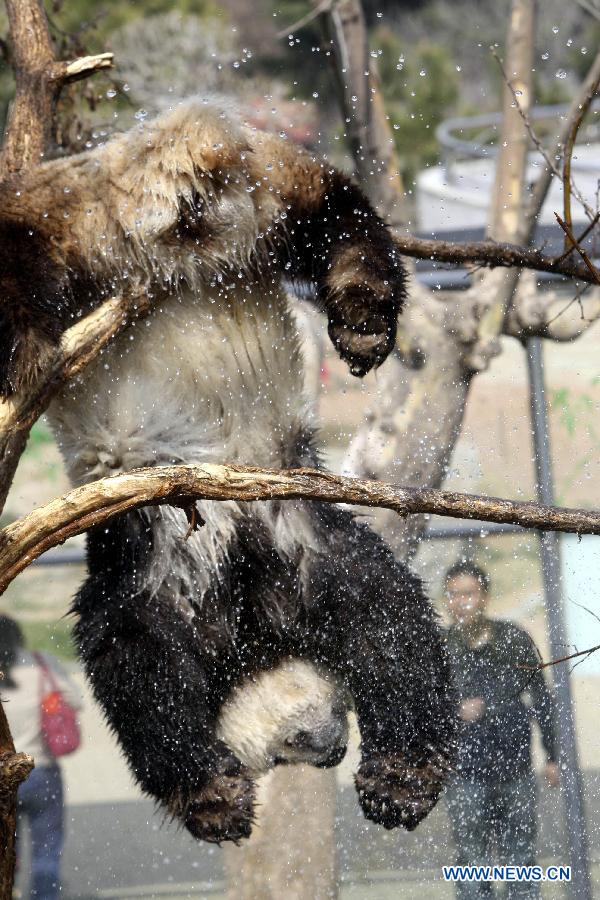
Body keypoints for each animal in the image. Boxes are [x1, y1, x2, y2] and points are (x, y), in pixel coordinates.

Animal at [0, 98, 454, 844]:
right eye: (292, 751)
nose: (333, 747)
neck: (247, 631)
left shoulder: (299, 549)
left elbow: (388, 628)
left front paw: (400, 782)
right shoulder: (148, 553)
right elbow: (136, 665)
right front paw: (215, 800)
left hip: (256, 194)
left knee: (337, 216)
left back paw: (361, 315)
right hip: (76, 217)